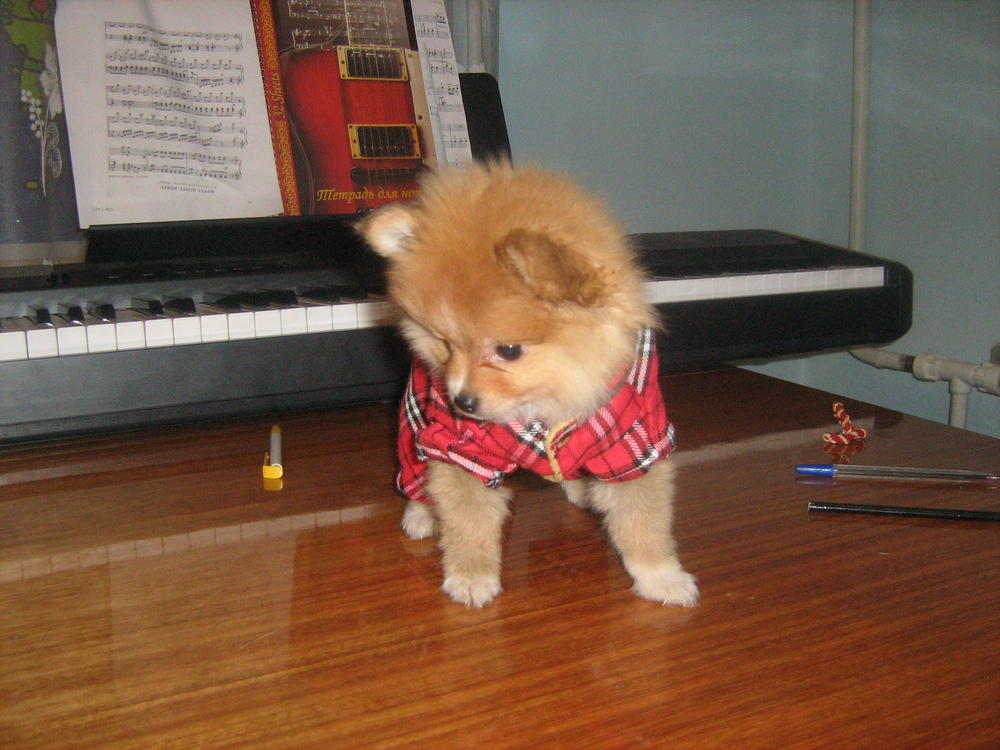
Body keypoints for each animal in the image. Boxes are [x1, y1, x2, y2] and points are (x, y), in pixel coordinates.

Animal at [359, 161, 698, 609]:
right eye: (445, 344)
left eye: (508, 350)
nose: (462, 401)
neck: (549, 400)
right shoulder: (460, 447)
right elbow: (467, 516)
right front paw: (471, 575)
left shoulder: (633, 436)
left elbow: (643, 517)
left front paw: (661, 575)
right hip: (415, 415)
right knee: (414, 471)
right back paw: (420, 512)